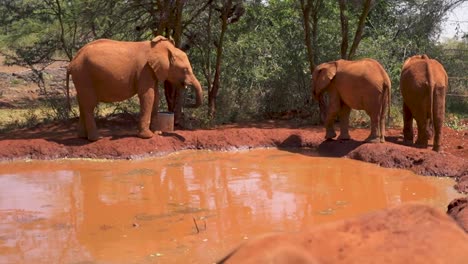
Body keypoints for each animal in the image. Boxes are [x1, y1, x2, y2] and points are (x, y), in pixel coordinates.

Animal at [66, 36, 203, 142]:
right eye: (185, 70)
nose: (187, 105)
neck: (160, 49)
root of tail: (72, 63)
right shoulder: (145, 70)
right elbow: (148, 96)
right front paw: (148, 136)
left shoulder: (152, 72)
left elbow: (156, 96)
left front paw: (157, 133)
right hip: (84, 75)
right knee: (89, 104)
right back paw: (96, 138)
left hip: (81, 77)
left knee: (82, 103)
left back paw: (83, 137)